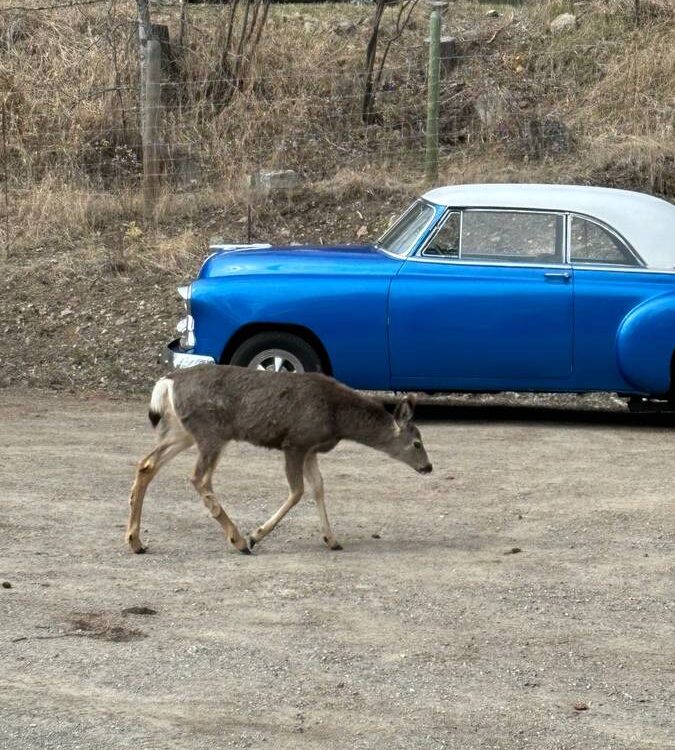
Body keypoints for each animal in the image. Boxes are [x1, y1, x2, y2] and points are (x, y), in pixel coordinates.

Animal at [127, 368, 434, 556]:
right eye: (417, 443)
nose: (428, 467)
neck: (338, 418)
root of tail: (167, 381)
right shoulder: (295, 442)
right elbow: (297, 491)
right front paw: (256, 534)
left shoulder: (311, 449)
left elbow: (319, 488)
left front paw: (332, 540)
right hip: (211, 431)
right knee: (199, 477)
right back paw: (239, 540)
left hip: (182, 431)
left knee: (147, 464)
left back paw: (135, 541)